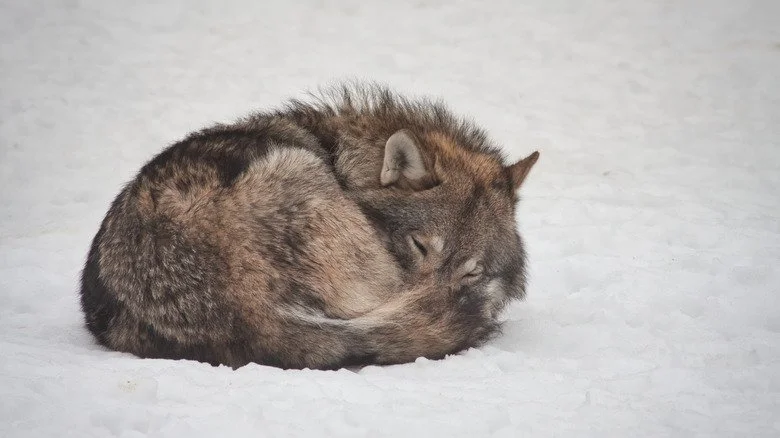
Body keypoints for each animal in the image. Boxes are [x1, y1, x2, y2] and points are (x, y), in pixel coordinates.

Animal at [80, 83, 539, 369]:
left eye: (470, 273)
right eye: (420, 246)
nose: (437, 303)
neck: (341, 157)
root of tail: (245, 307)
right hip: (298, 167)